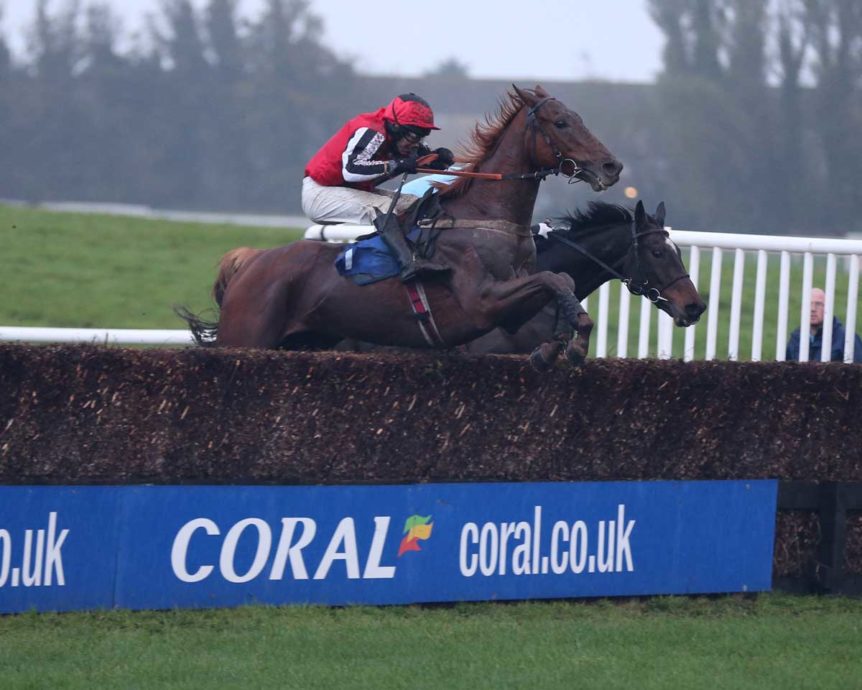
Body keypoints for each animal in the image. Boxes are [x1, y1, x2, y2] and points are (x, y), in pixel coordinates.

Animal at [179, 84, 624, 360]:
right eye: (561, 123)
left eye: (578, 118)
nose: (612, 166)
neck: (487, 218)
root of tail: (251, 262)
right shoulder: (483, 303)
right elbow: (553, 279)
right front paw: (568, 345)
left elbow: (560, 281)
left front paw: (563, 342)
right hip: (247, 336)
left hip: (304, 340)